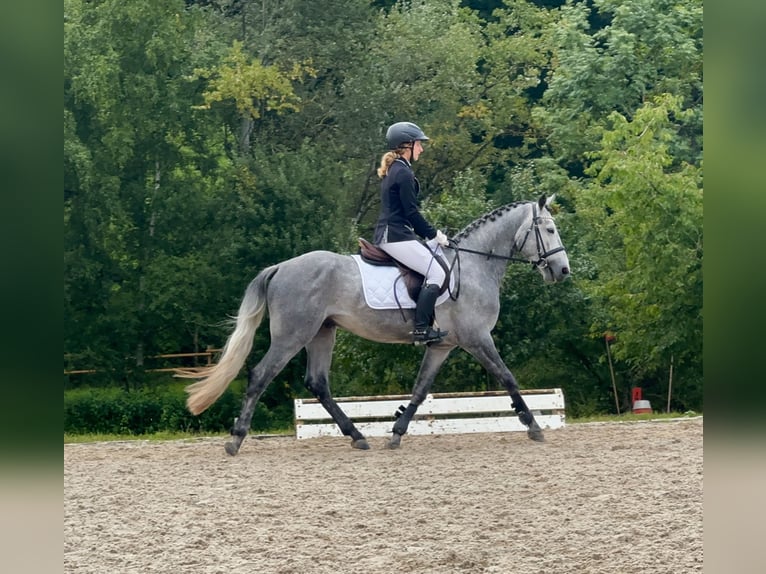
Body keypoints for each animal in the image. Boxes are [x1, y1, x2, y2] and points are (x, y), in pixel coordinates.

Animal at [177, 195, 570, 455]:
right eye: (550, 230)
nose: (563, 270)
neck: (474, 266)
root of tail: (281, 267)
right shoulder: (477, 338)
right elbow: (508, 377)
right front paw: (533, 425)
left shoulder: (443, 345)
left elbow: (420, 389)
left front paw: (396, 432)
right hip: (293, 334)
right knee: (261, 375)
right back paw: (236, 439)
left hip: (323, 332)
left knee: (317, 383)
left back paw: (357, 436)